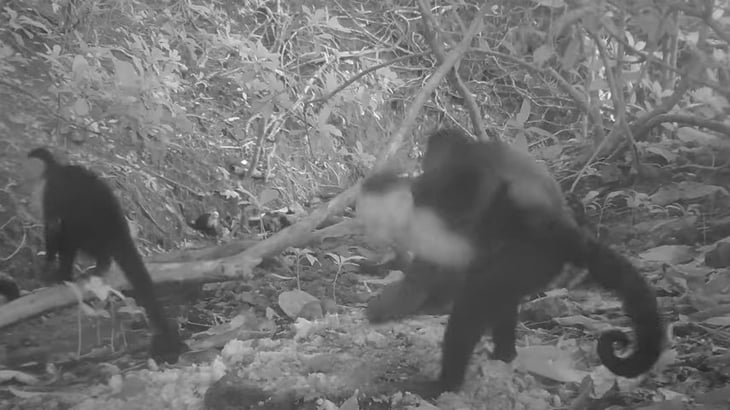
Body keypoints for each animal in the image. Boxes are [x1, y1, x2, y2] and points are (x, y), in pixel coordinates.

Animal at [27, 147, 186, 364]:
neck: (55, 169)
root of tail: (117, 224)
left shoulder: (52, 191)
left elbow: (53, 228)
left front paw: (48, 268)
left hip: (91, 227)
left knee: (69, 234)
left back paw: (73, 271)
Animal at [356, 128, 664, 395]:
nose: (370, 233)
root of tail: (568, 234)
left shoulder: (441, 198)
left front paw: (396, 302)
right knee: (498, 293)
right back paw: (504, 354)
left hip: (532, 255)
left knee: (476, 294)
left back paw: (446, 382)